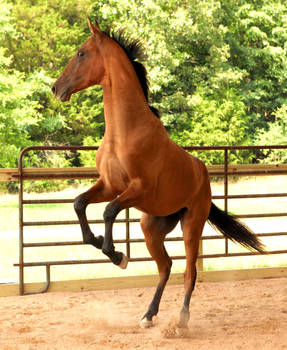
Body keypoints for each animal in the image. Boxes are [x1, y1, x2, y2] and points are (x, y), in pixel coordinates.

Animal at [52, 19, 266, 330]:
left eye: (81, 53)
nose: (56, 88)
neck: (124, 132)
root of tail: (202, 176)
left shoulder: (135, 190)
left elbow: (109, 211)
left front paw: (116, 254)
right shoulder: (108, 185)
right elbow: (80, 203)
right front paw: (106, 246)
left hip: (191, 226)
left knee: (189, 273)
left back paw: (181, 322)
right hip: (151, 227)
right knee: (165, 267)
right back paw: (148, 315)